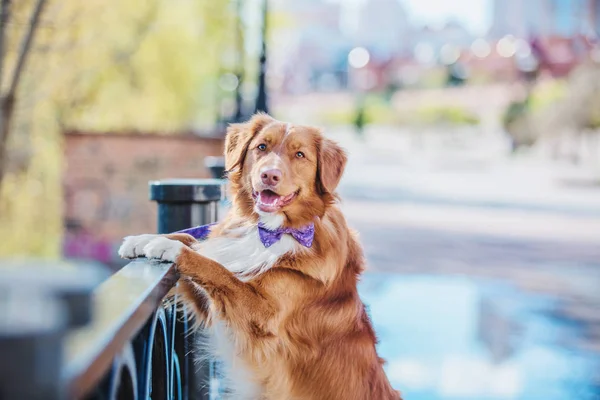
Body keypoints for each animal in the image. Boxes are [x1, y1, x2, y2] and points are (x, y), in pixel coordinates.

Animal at [119, 113, 400, 400]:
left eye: (300, 154)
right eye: (262, 147)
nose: (269, 175)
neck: (270, 229)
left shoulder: (263, 317)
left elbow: (216, 269)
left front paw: (170, 249)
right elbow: (197, 243)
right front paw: (144, 239)